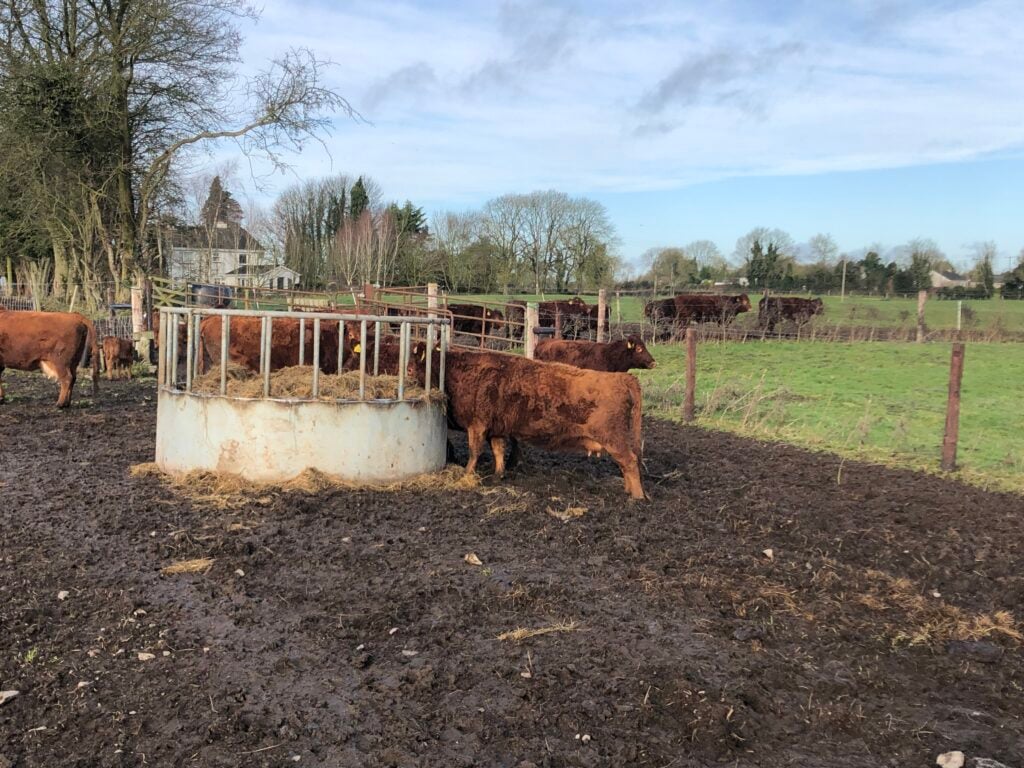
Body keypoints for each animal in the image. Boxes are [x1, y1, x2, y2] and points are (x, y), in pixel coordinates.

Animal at [411, 344, 645, 498]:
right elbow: (498, 450)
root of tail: (621, 378)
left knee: (630, 462)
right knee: (626, 464)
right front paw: (498, 474)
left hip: (614, 438)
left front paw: (467, 475)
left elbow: (474, 452)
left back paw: (636, 497)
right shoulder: (495, 429)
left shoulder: (477, 425)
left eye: (413, 368)